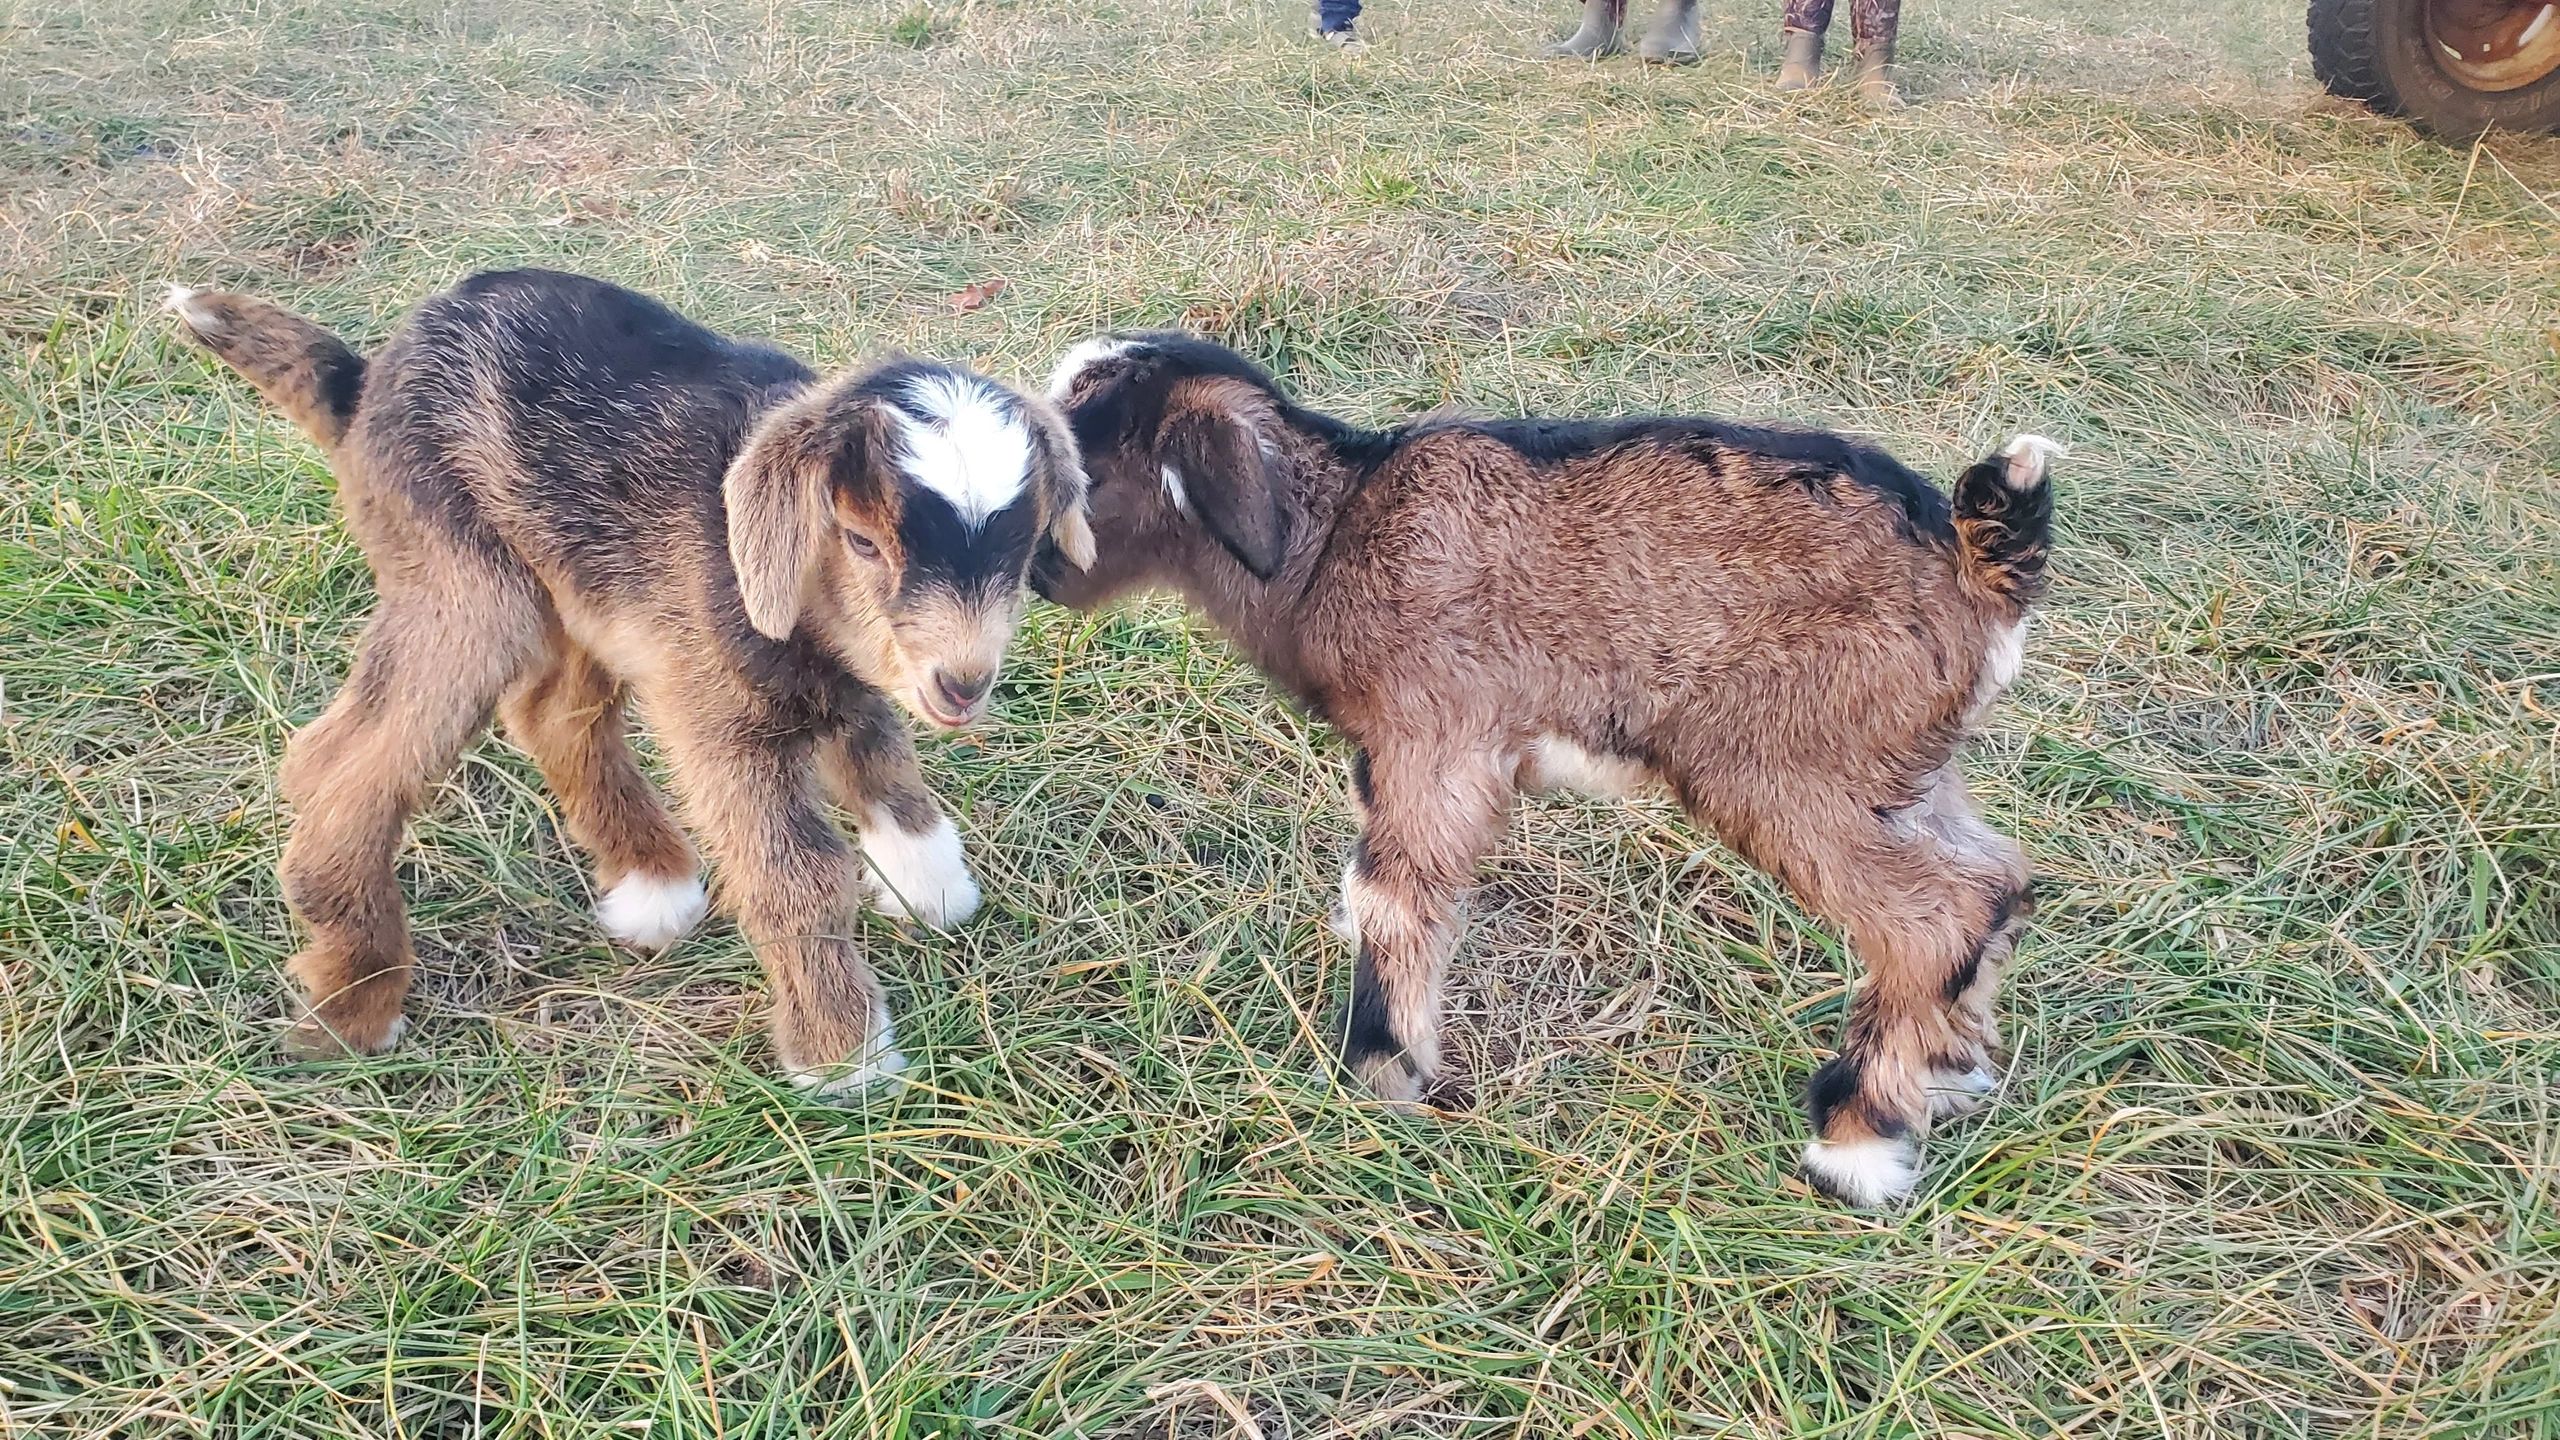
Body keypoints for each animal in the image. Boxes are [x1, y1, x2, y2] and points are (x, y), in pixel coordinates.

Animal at [167, 269, 1091, 1091]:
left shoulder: (852, 680)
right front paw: (840, 1056)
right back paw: (354, 998)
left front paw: (929, 886)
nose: (963, 683)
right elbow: (796, 876)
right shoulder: (721, 720)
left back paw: (652, 883)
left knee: (548, 714)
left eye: (1024, 549)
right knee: (357, 757)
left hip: (578, 591)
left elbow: (885, 767)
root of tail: (365, 382)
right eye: (862, 541)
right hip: (460, 577)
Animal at [1037, 332, 2055, 1206]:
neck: (1337, 534)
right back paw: (1948, 1076)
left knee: (1934, 918)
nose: (1032, 573)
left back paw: (1858, 1144)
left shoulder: (1434, 740)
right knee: (1992, 881)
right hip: (1899, 768)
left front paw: (1378, 1077)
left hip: (1791, 764)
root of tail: (1979, 561)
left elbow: (1392, 895)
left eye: (1083, 473)